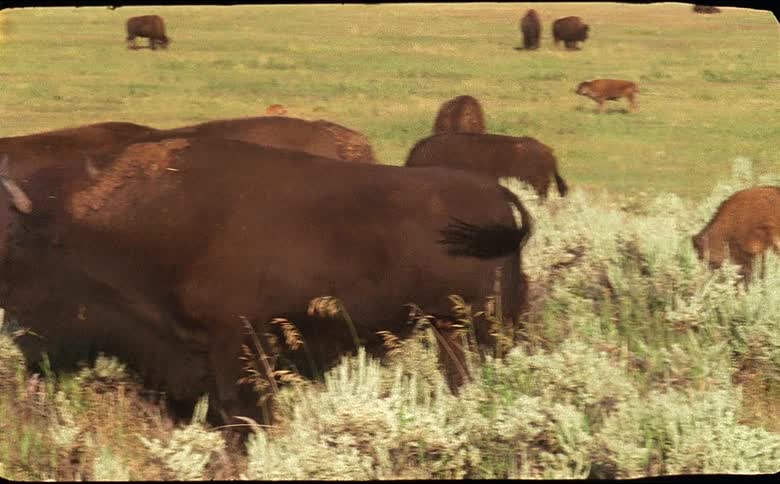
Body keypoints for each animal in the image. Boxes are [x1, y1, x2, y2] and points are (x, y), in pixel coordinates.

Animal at [0, 137, 532, 428]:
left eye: (19, 248)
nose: (16, 331)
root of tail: (497, 195)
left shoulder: (235, 341)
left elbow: (240, 409)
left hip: (489, 322)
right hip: (450, 328)